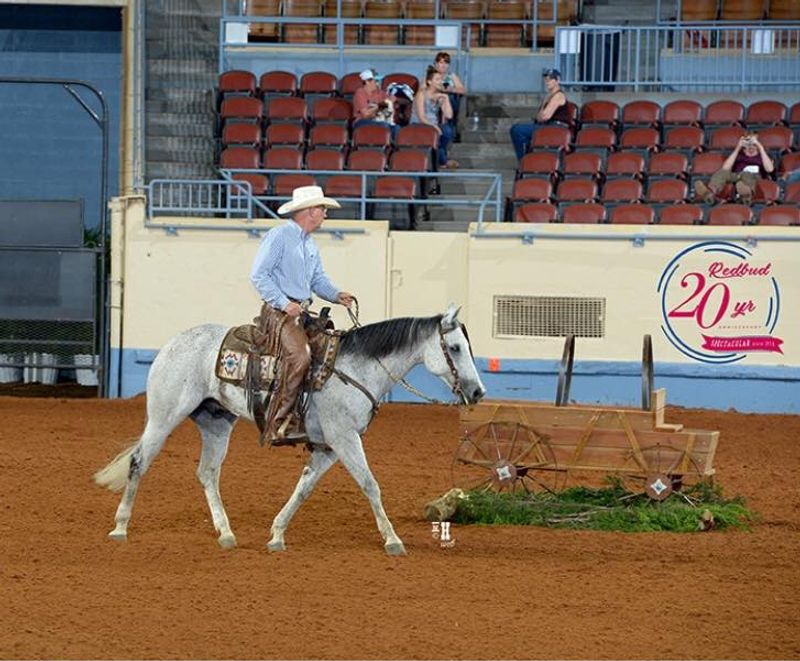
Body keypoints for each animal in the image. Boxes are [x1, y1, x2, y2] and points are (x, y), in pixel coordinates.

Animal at [92, 306, 482, 556]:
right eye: (455, 347)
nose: (478, 392)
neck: (356, 368)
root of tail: (171, 344)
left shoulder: (327, 447)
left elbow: (303, 489)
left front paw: (277, 534)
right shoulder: (344, 438)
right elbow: (370, 484)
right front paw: (393, 540)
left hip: (216, 423)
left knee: (207, 473)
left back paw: (226, 533)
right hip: (164, 415)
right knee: (139, 461)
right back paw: (120, 527)